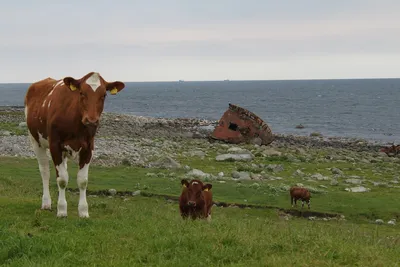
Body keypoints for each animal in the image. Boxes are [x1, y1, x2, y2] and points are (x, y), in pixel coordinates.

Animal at [24, 72, 124, 219]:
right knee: (45, 172)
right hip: (35, 140)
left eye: (104, 95)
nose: (91, 120)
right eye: (81, 93)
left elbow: (82, 181)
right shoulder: (55, 145)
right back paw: (46, 203)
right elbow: (62, 179)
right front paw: (61, 210)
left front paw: (83, 211)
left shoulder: (88, 148)